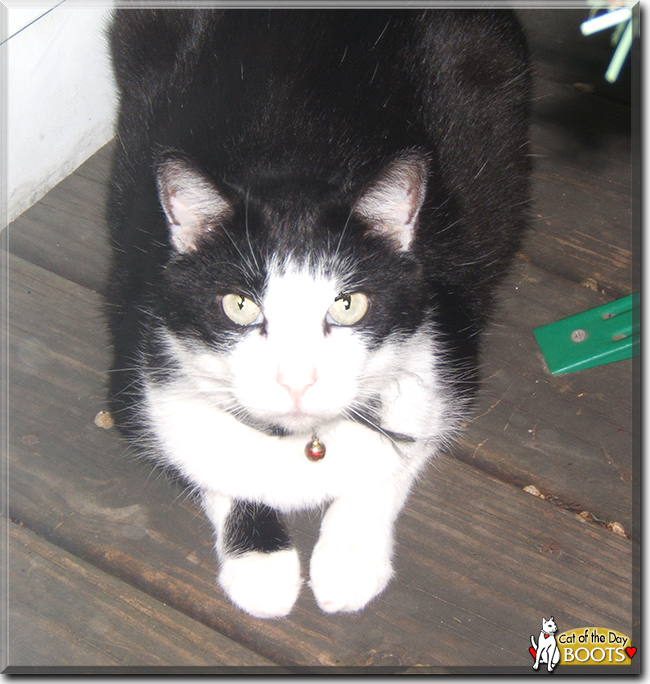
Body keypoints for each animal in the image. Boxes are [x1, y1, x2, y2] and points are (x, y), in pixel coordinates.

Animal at [107, 9, 532, 620]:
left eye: (347, 304)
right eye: (239, 306)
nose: (297, 380)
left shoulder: (447, 356)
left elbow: (397, 457)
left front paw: (348, 561)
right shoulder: (140, 371)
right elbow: (208, 468)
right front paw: (261, 567)